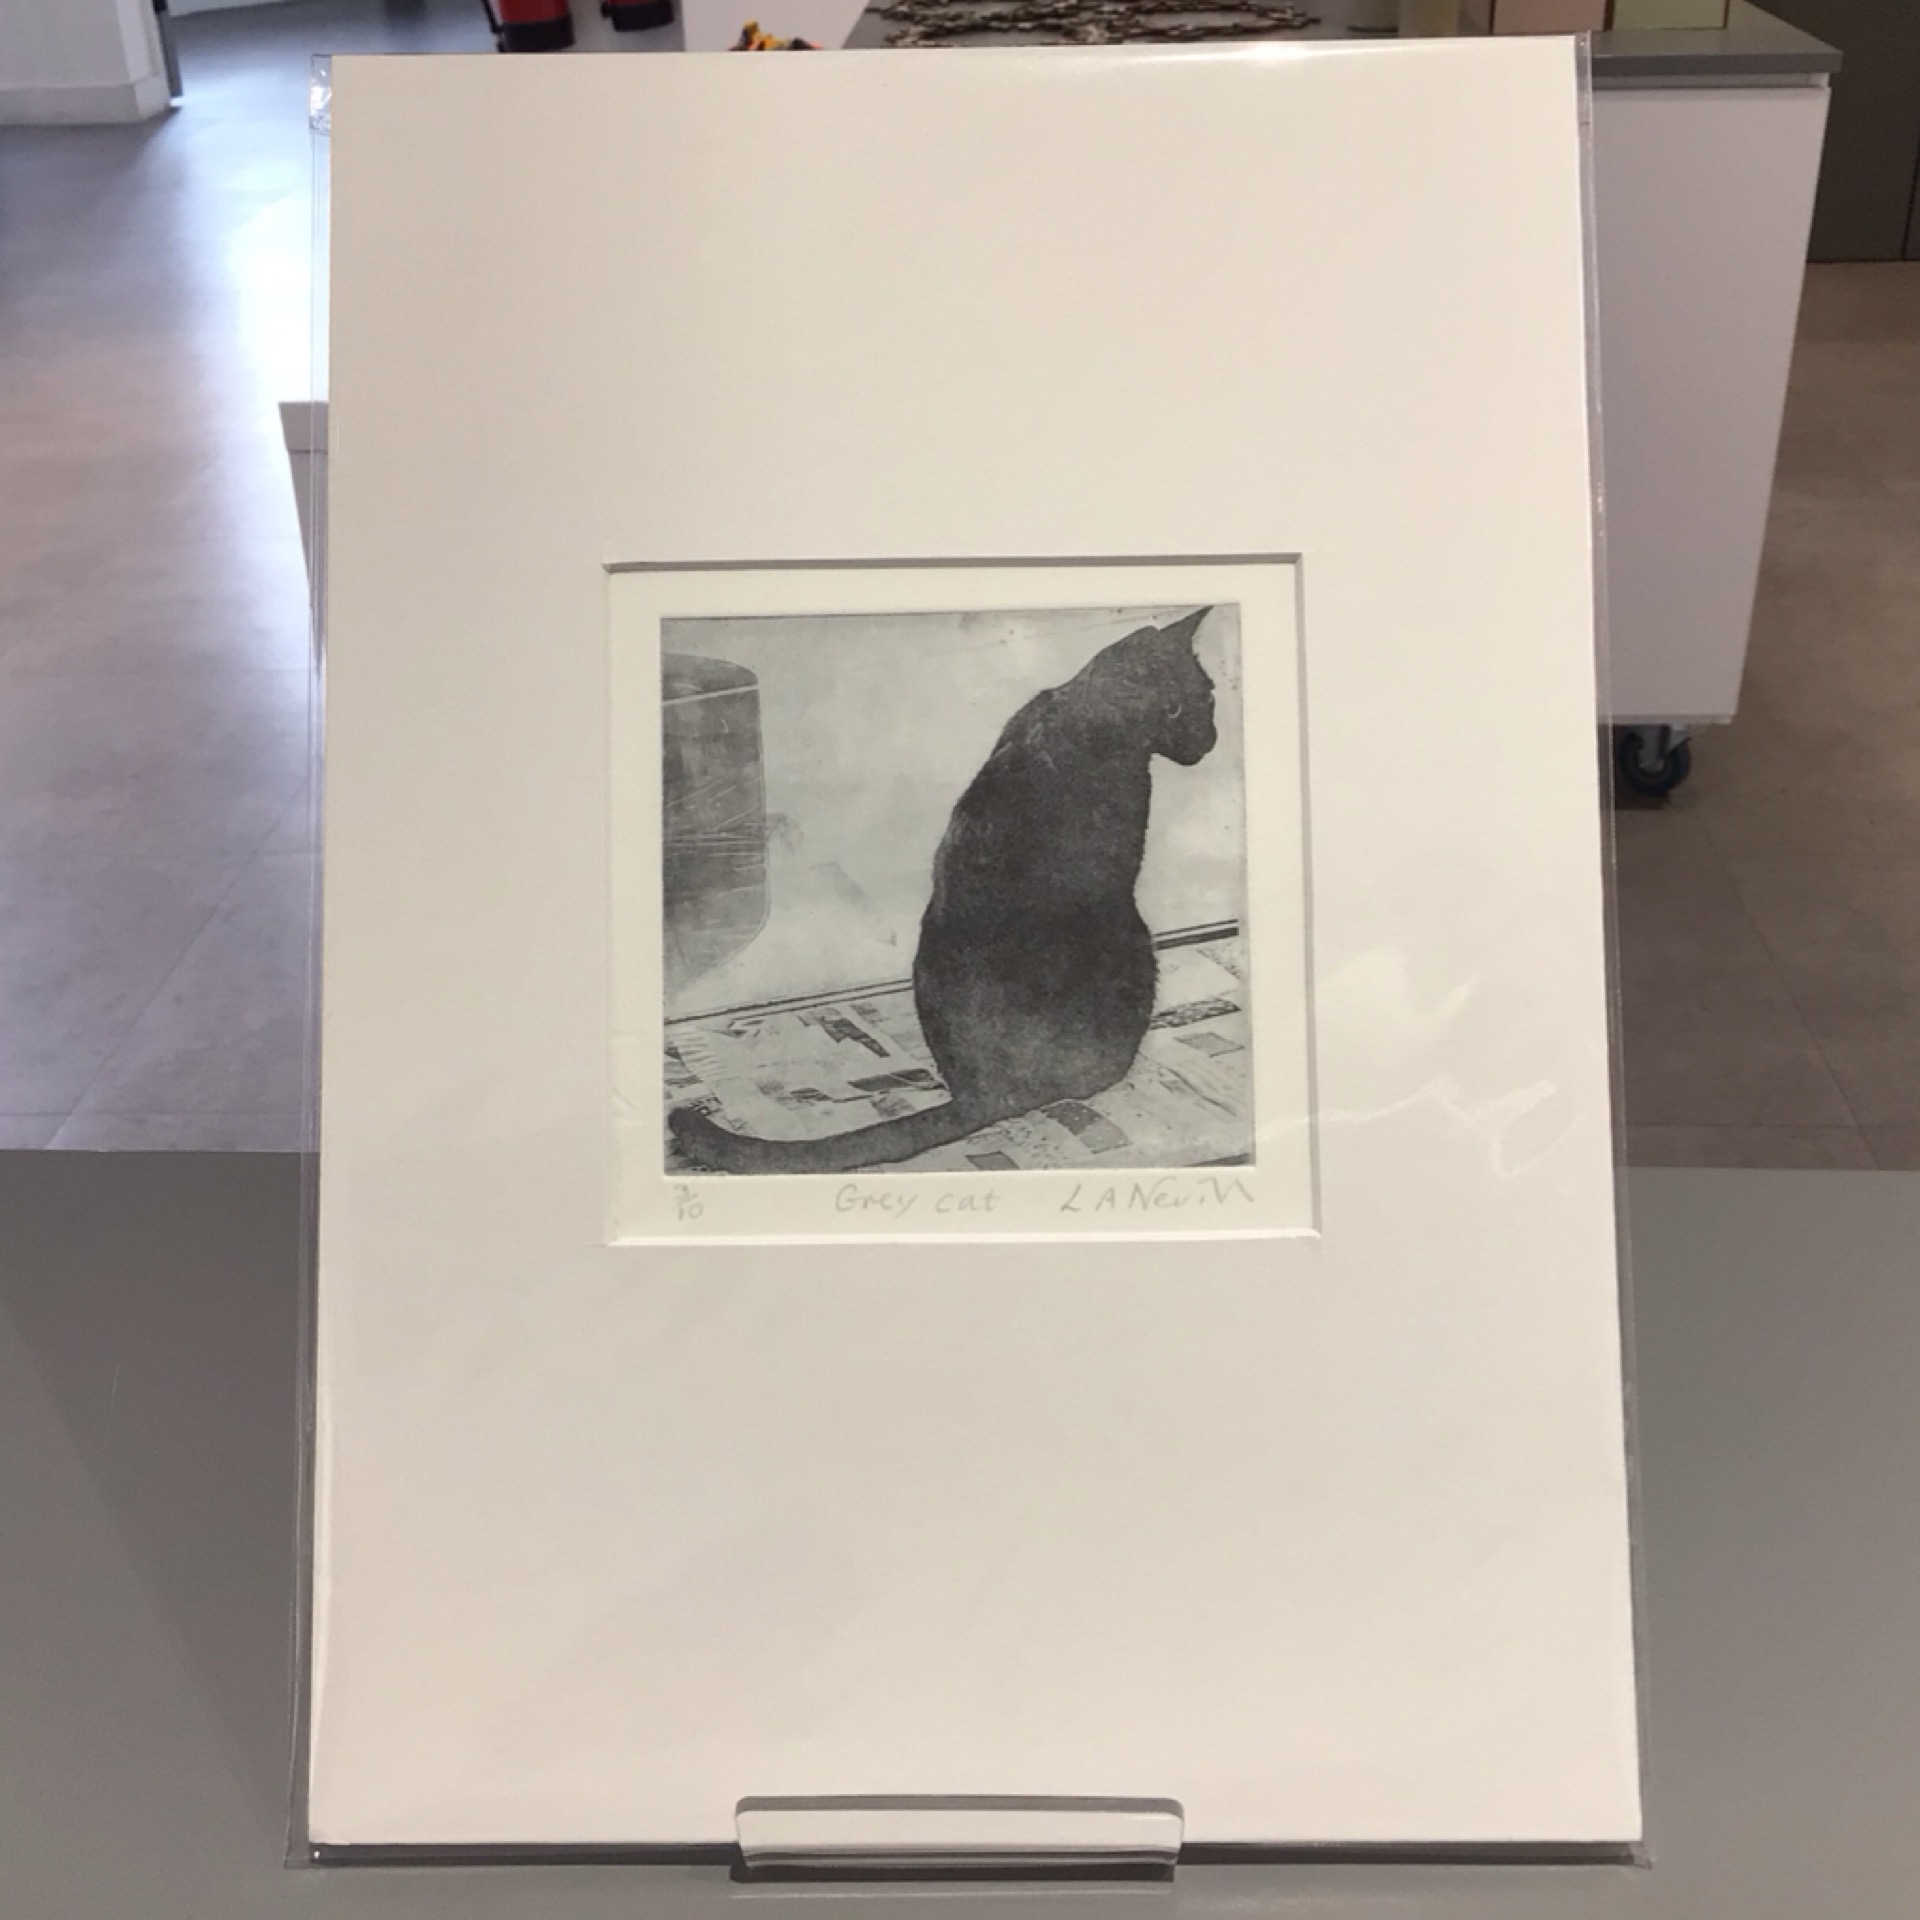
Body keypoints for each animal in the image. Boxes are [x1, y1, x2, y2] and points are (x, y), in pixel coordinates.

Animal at [668, 606, 1219, 1175]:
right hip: (1136, 938)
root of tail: (984, 1092)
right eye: (1175, 708)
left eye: (1211, 697)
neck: (1080, 708)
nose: (1211, 738)